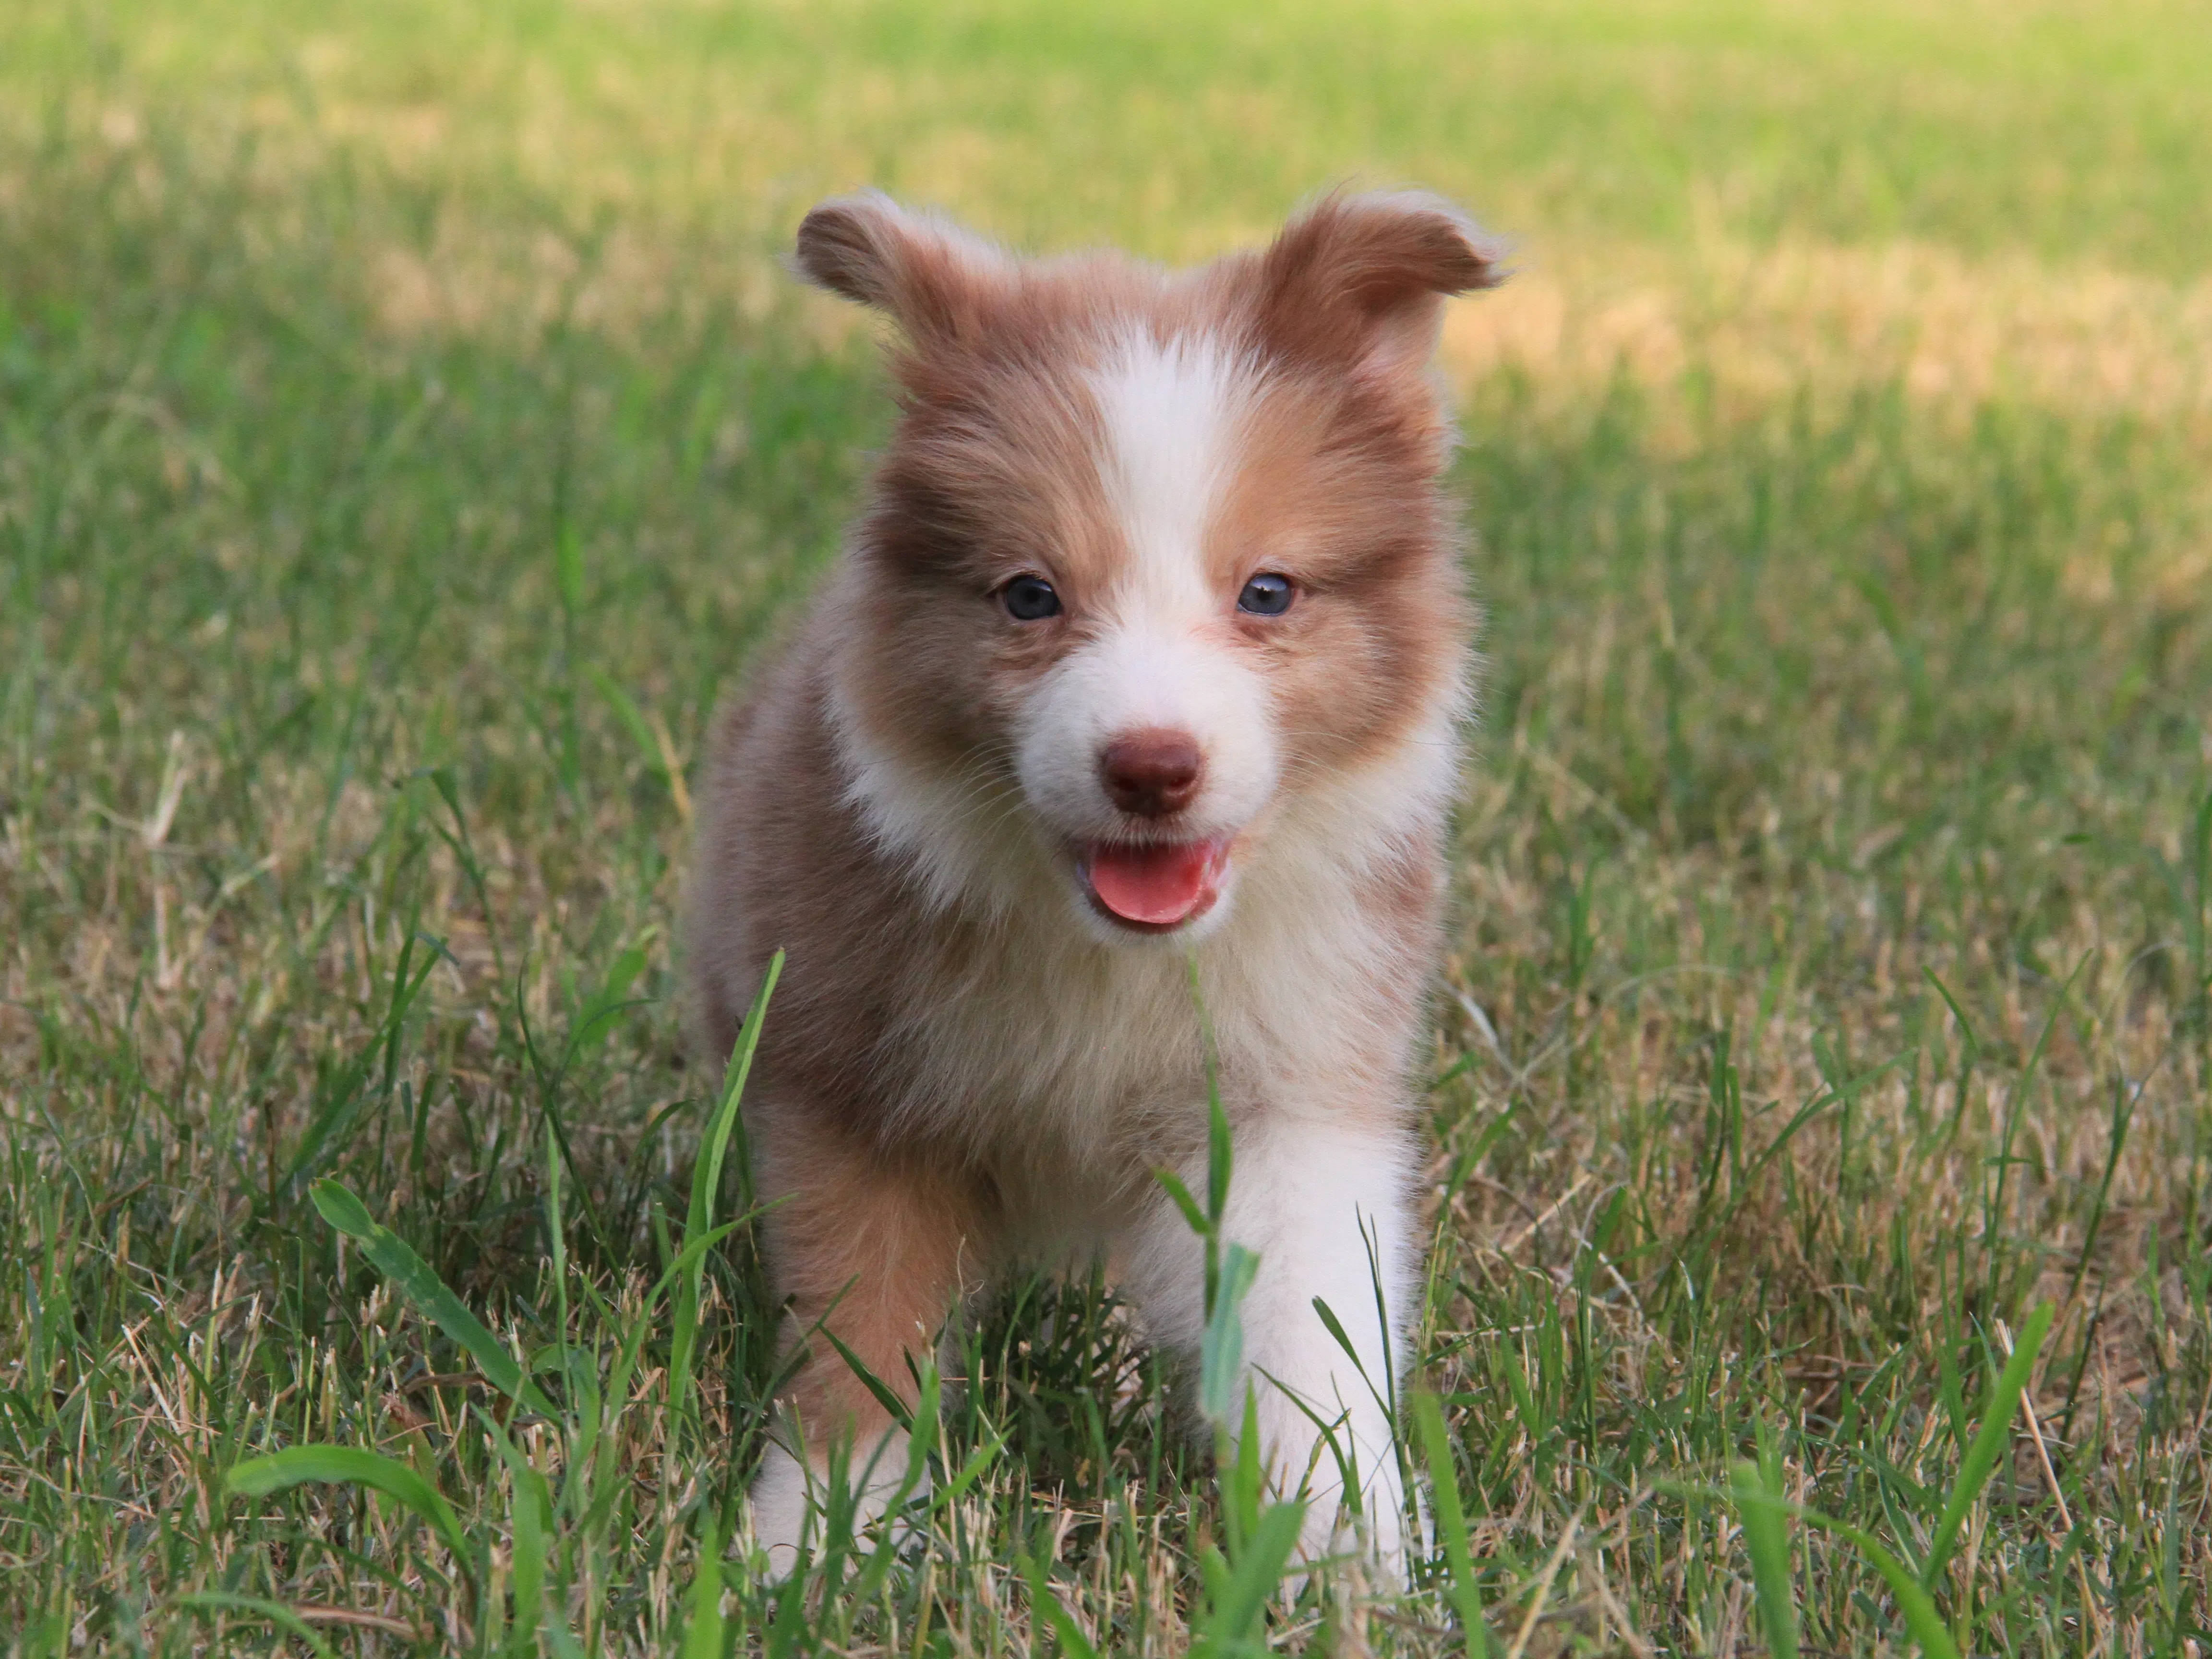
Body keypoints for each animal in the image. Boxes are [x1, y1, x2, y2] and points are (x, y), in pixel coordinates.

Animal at [681, 188, 1495, 1575]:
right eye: (1029, 597)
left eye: (1267, 592)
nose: (1151, 766)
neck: (1112, 950)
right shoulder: (851, 1083)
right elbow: (863, 1324)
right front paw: (819, 1544)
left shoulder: (1288, 1081)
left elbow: (1311, 1335)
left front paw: (1364, 1560)